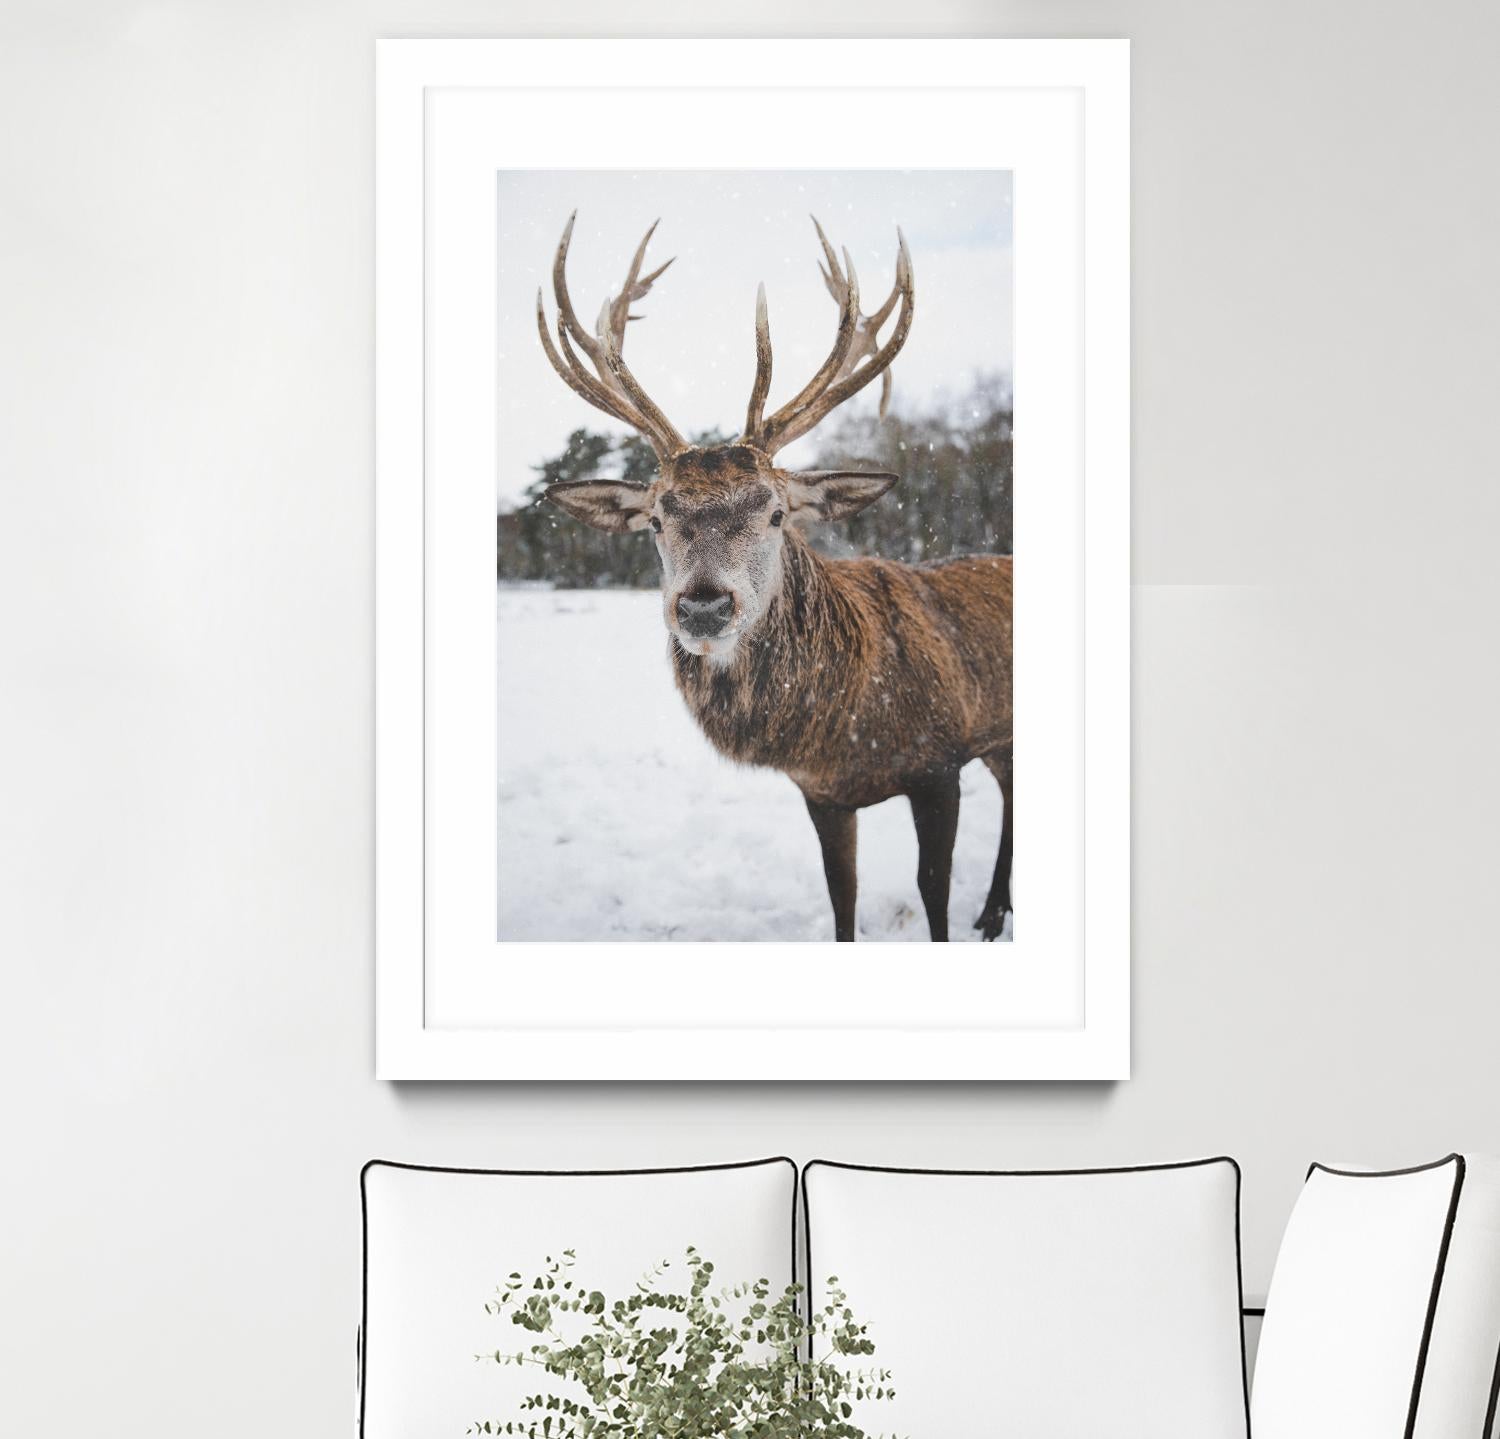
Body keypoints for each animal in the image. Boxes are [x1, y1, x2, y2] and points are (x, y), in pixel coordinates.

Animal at [534, 213, 1013, 942]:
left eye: (777, 511)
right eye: (656, 519)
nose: (703, 607)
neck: (846, 729)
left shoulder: (941, 761)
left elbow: (933, 893)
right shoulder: (821, 793)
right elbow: (841, 896)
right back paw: (992, 910)